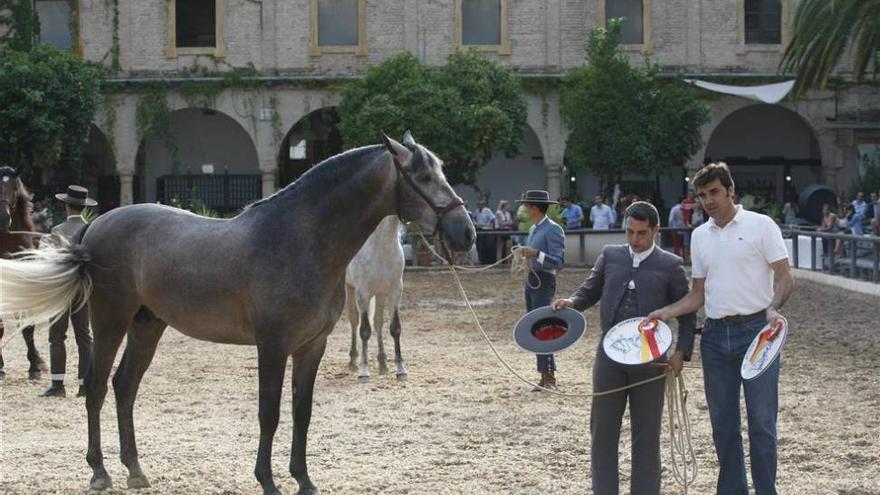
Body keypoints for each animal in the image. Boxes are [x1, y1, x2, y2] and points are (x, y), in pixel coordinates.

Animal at [346, 215, 410, 382]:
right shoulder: (362, 293)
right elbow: (364, 330)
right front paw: (363, 371)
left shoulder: (395, 292)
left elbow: (395, 328)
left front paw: (401, 370)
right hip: (349, 288)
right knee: (354, 320)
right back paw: (353, 361)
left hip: (380, 294)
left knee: (378, 323)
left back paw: (382, 363)